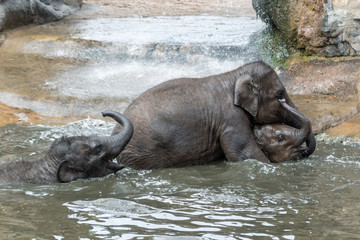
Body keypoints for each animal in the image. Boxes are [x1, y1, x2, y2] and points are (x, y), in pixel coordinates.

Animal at [112, 61, 316, 169]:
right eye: (280, 95)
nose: (304, 152)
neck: (234, 76)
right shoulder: (231, 119)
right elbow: (245, 154)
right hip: (144, 152)